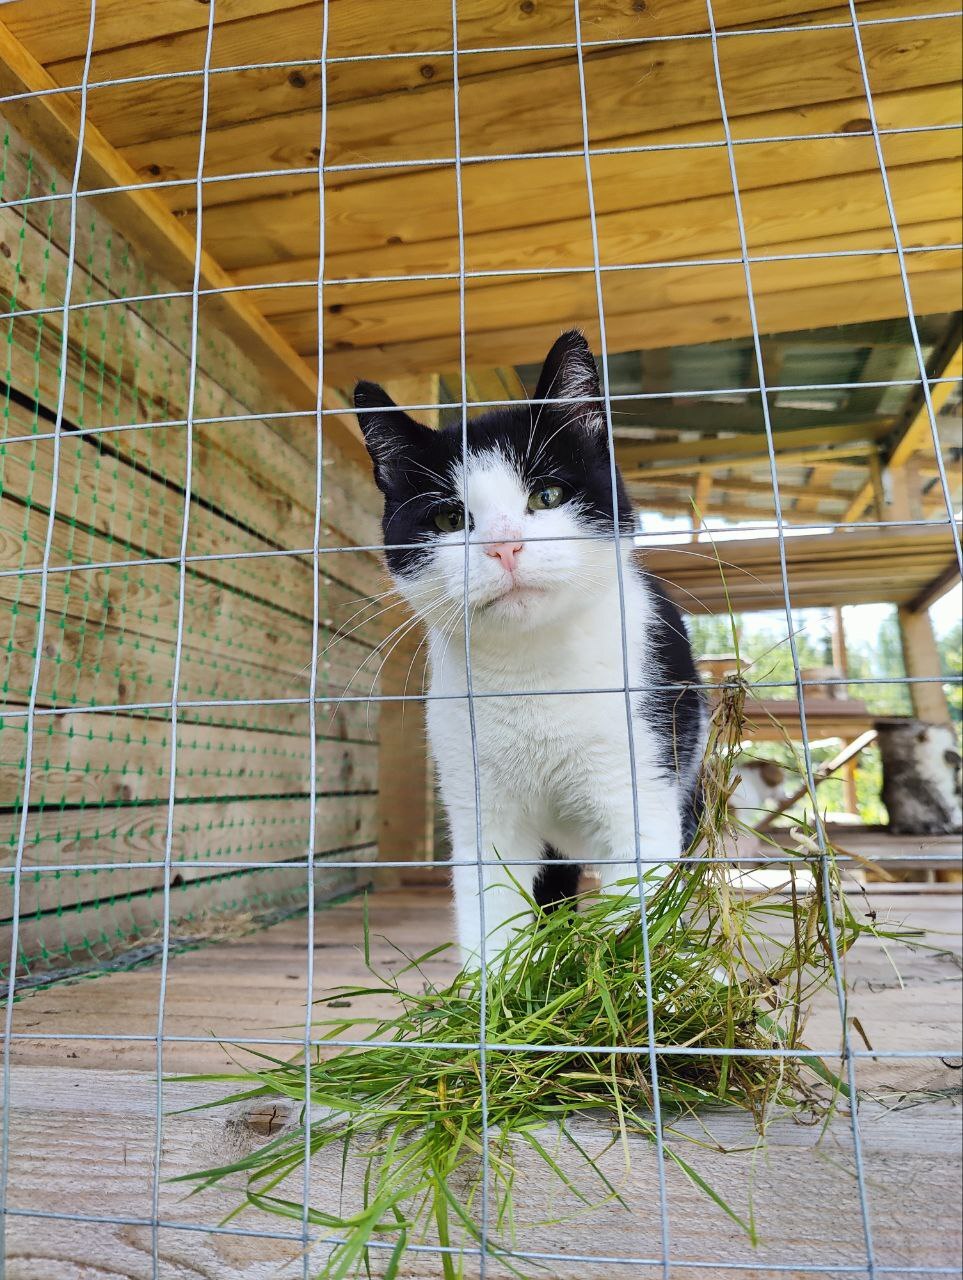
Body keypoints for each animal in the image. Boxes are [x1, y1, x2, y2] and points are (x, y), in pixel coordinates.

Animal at [356, 335, 706, 962]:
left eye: (547, 495)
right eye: (450, 517)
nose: (504, 547)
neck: (531, 672)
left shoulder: (640, 790)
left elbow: (640, 910)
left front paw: (635, 980)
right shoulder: (480, 813)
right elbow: (490, 919)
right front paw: (495, 987)